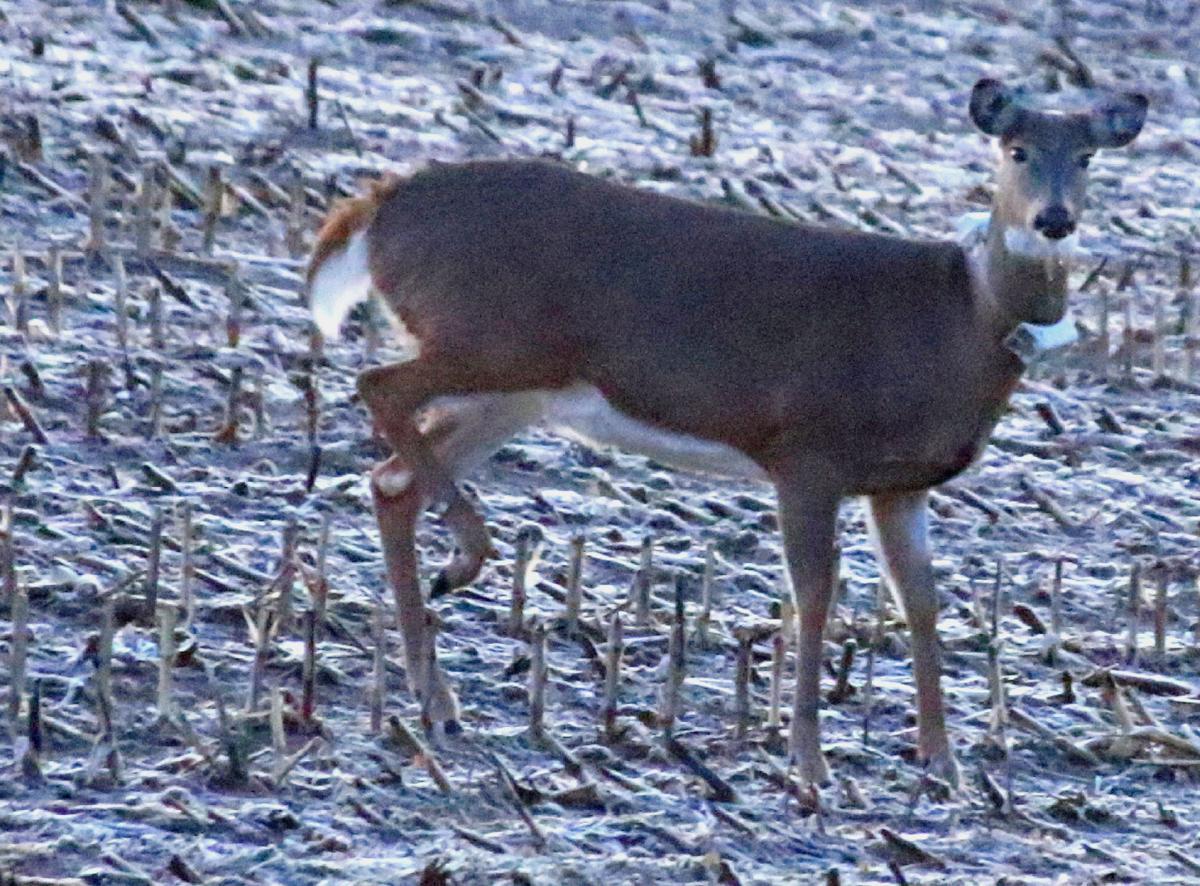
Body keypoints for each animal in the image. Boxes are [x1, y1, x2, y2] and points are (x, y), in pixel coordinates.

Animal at [306, 78, 1146, 786]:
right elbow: (815, 594)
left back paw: (438, 699)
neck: (959, 322)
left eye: (1088, 155)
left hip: (520, 386)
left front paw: (944, 764)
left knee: (393, 477)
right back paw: (464, 565)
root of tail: (377, 208)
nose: (1054, 220)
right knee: (377, 388)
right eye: (1016, 149)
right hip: (484, 340)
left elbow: (922, 603)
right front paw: (809, 760)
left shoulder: (900, 484)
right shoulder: (807, 448)